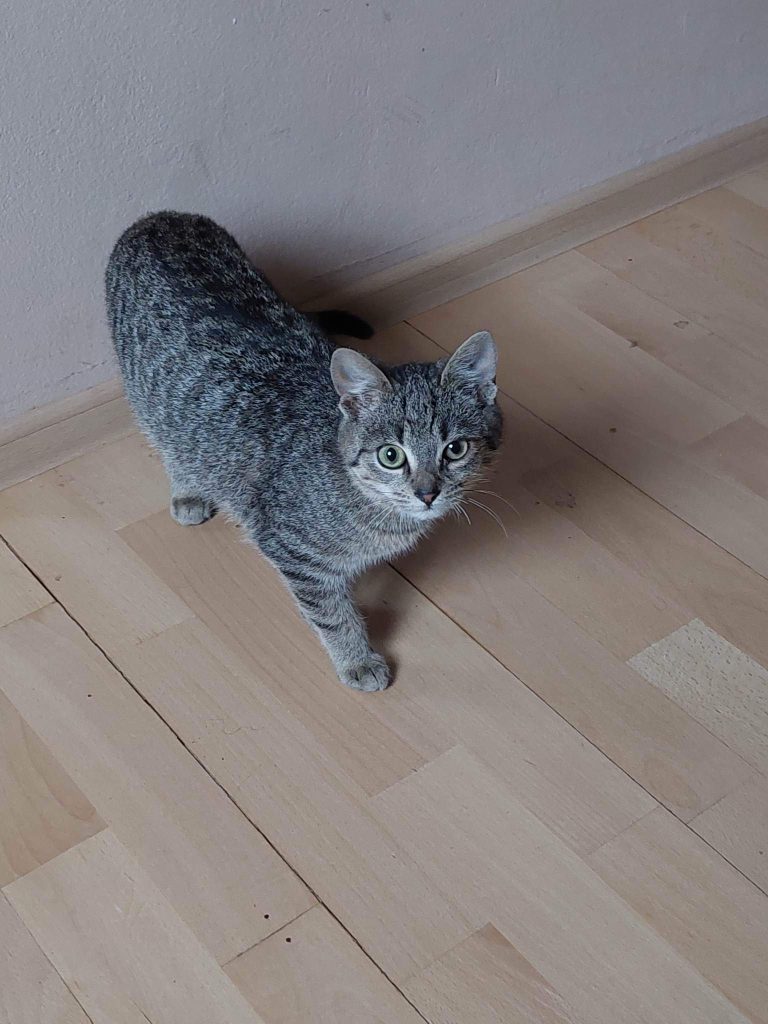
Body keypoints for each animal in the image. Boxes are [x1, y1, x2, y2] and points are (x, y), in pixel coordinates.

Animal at [106, 212, 502, 691]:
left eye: (456, 449)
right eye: (391, 456)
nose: (428, 493)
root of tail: (160, 218)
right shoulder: (291, 552)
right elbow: (330, 614)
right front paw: (356, 659)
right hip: (147, 397)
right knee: (168, 438)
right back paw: (188, 489)